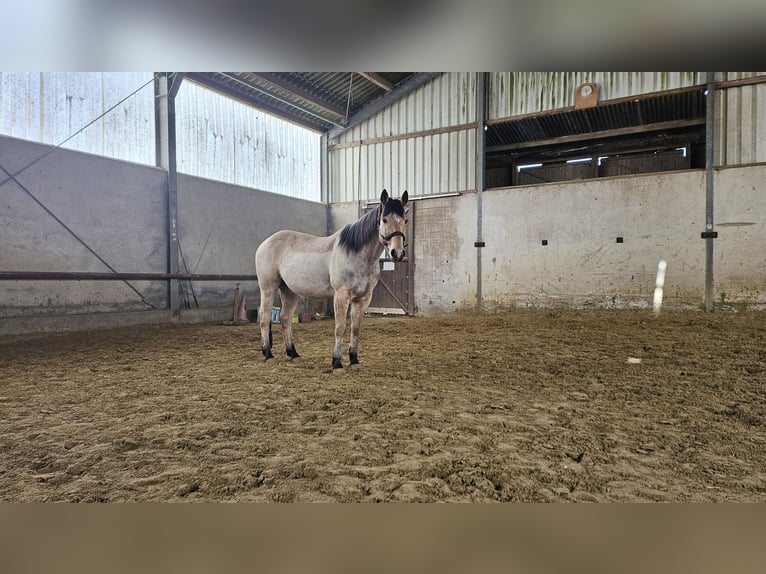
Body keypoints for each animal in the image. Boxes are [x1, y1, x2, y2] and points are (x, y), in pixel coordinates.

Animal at [255, 189, 409, 369]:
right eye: (384, 219)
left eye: (405, 220)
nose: (397, 253)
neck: (356, 254)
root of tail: (265, 243)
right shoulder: (341, 295)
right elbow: (340, 328)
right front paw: (337, 362)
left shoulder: (363, 298)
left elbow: (356, 329)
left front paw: (354, 360)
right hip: (268, 289)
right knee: (264, 318)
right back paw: (268, 353)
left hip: (289, 291)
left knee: (285, 319)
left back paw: (293, 353)